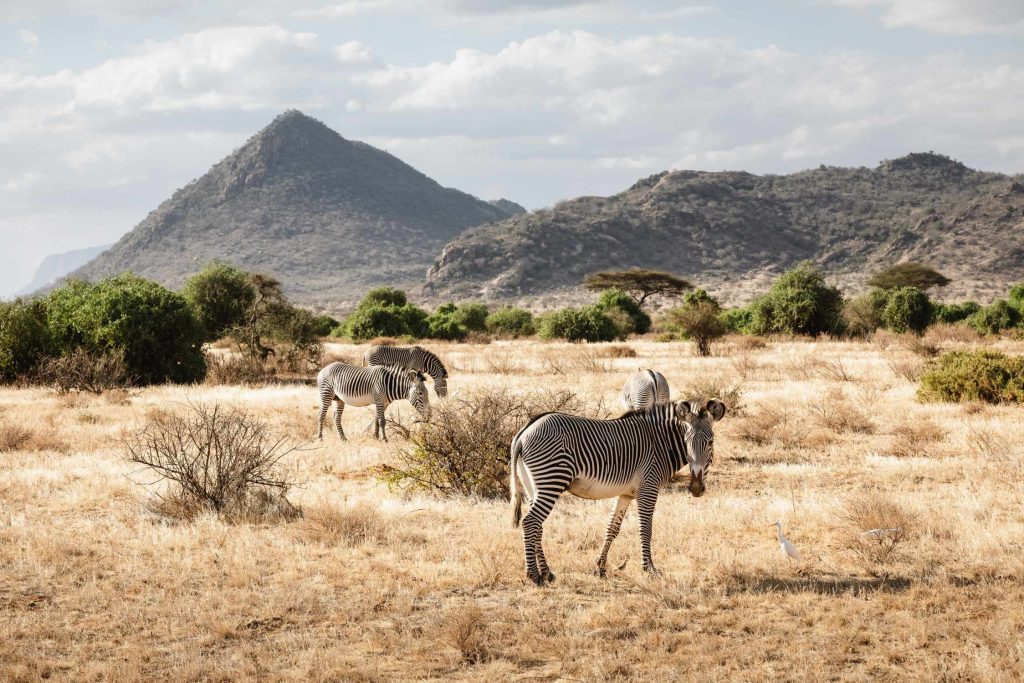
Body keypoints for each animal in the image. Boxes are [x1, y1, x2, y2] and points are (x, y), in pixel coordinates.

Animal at [509, 398, 726, 585]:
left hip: (533, 485)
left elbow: (612, 528)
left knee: (538, 526)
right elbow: (646, 528)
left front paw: (600, 567)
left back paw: (547, 573)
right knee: (530, 522)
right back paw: (534, 575)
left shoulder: (626, 493)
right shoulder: (648, 487)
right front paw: (649, 569)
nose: (696, 488)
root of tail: (525, 431)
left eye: (711, 442)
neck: (659, 443)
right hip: (552, 480)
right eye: (686, 441)